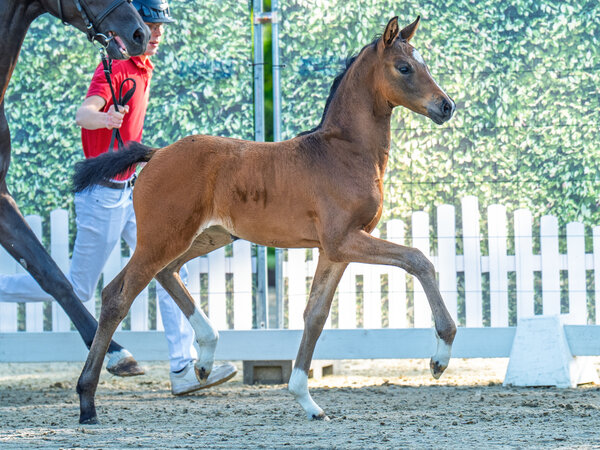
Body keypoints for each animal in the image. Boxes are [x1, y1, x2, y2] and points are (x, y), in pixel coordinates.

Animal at [74, 16, 457, 423]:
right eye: (404, 67)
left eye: (423, 64)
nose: (446, 106)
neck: (343, 153)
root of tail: (157, 153)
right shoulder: (344, 240)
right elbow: (419, 259)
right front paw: (440, 356)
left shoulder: (335, 250)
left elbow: (315, 315)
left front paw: (306, 399)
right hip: (162, 238)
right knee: (117, 295)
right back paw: (87, 401)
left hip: (206, 237)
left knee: (167, 273)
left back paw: (206, 359)